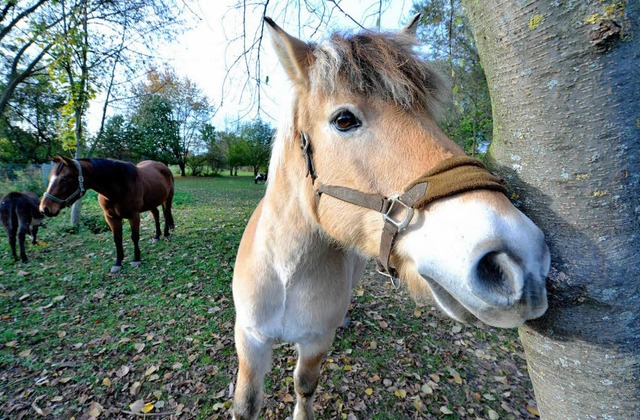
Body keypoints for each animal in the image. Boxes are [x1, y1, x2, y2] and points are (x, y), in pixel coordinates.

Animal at [40, 156, 175, 274]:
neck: (119, 186)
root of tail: (163, 166)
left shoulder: (134, 216)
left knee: (166, 213)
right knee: (157, 214)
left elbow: (134, 237)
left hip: (167, 198)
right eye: (50, 177)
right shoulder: (111, 218)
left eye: (64, 178)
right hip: (151, 202)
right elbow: (117, 239)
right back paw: (157, 236)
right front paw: (118, 263)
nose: (44, 208)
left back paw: (166, 234)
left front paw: (136, 259)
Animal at [230, 14, 552, 418]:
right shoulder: (250, 340)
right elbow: (246, 404)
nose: (517, 258)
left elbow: (304, 387)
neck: (286, 272)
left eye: (429, 116)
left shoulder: (316, 342)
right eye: (344, 120)